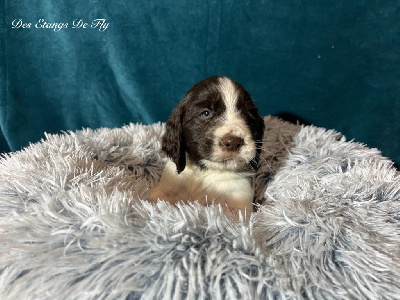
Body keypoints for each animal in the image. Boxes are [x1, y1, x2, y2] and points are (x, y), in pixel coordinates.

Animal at [148, 76, 264, 214]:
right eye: (206, 113)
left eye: (246, 115)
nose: (233, 142)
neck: (205, 171)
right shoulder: (166, 189)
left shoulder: (239, 203)